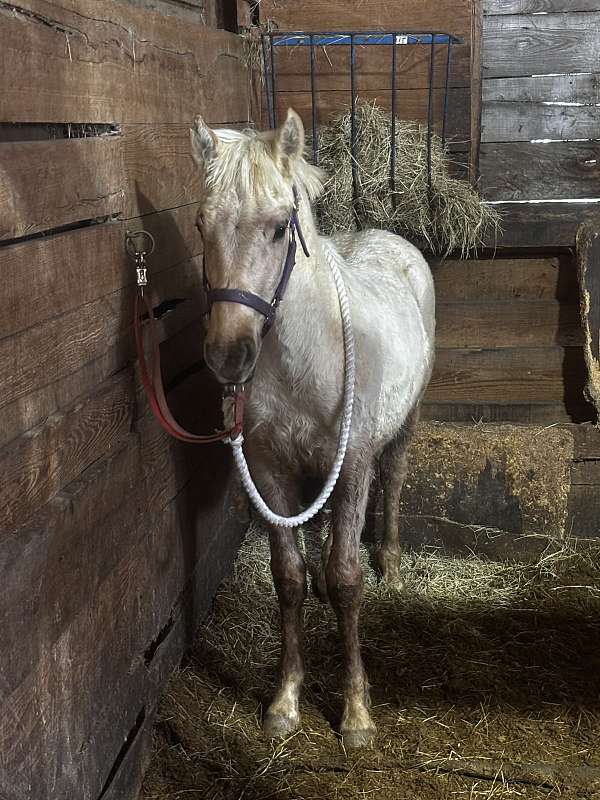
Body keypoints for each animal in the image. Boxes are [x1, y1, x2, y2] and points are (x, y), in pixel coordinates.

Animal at [190, 108, 435, 748]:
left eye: (281, 227)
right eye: (201, 225)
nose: (228, 355)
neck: (303, 356)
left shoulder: (351, 468)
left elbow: (347, 578)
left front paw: (356, 713)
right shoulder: (273, 472)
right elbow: (291, 579)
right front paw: (286, 702)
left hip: (403, 425)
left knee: (395, 480)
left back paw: (391, 566)